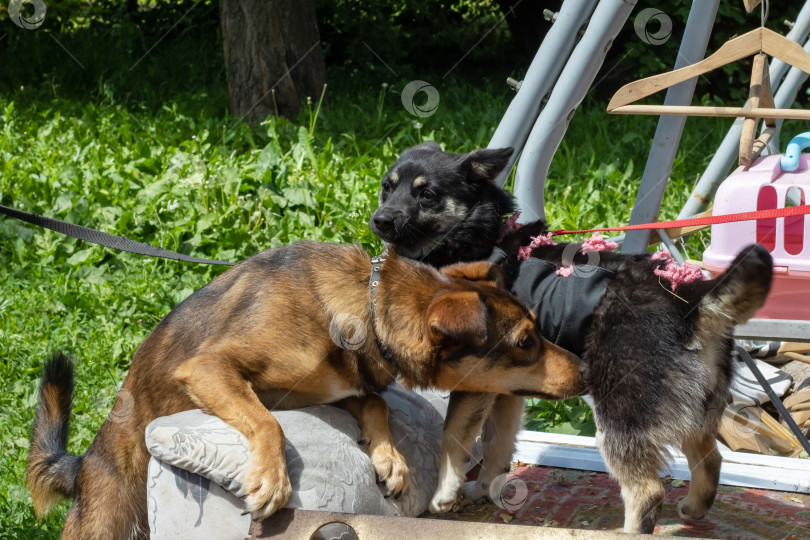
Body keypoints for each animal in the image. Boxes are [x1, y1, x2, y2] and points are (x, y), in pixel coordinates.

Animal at [25, 243, 580, 536]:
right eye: (526, 341)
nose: (584, 369)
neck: (366, 308)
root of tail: (83, 465)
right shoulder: (208, 368)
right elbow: (266, 422)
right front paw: (271, 479)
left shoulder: (324, 388)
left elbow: (375, 401)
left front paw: (389, 459)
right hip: (107, 519)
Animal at [368, 141, 772, 532]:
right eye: (386, 187)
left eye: (427, 194)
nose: (380, 219)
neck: (477, 238)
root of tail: (691, 298)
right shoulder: (508, 386)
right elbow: (498, 444)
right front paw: (485, 489)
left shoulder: (476, 383)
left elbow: (455, 435)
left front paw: (445, 493)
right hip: (693, 408)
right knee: (711, 457)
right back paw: (694, 506)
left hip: (620, 414)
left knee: (647, 492)